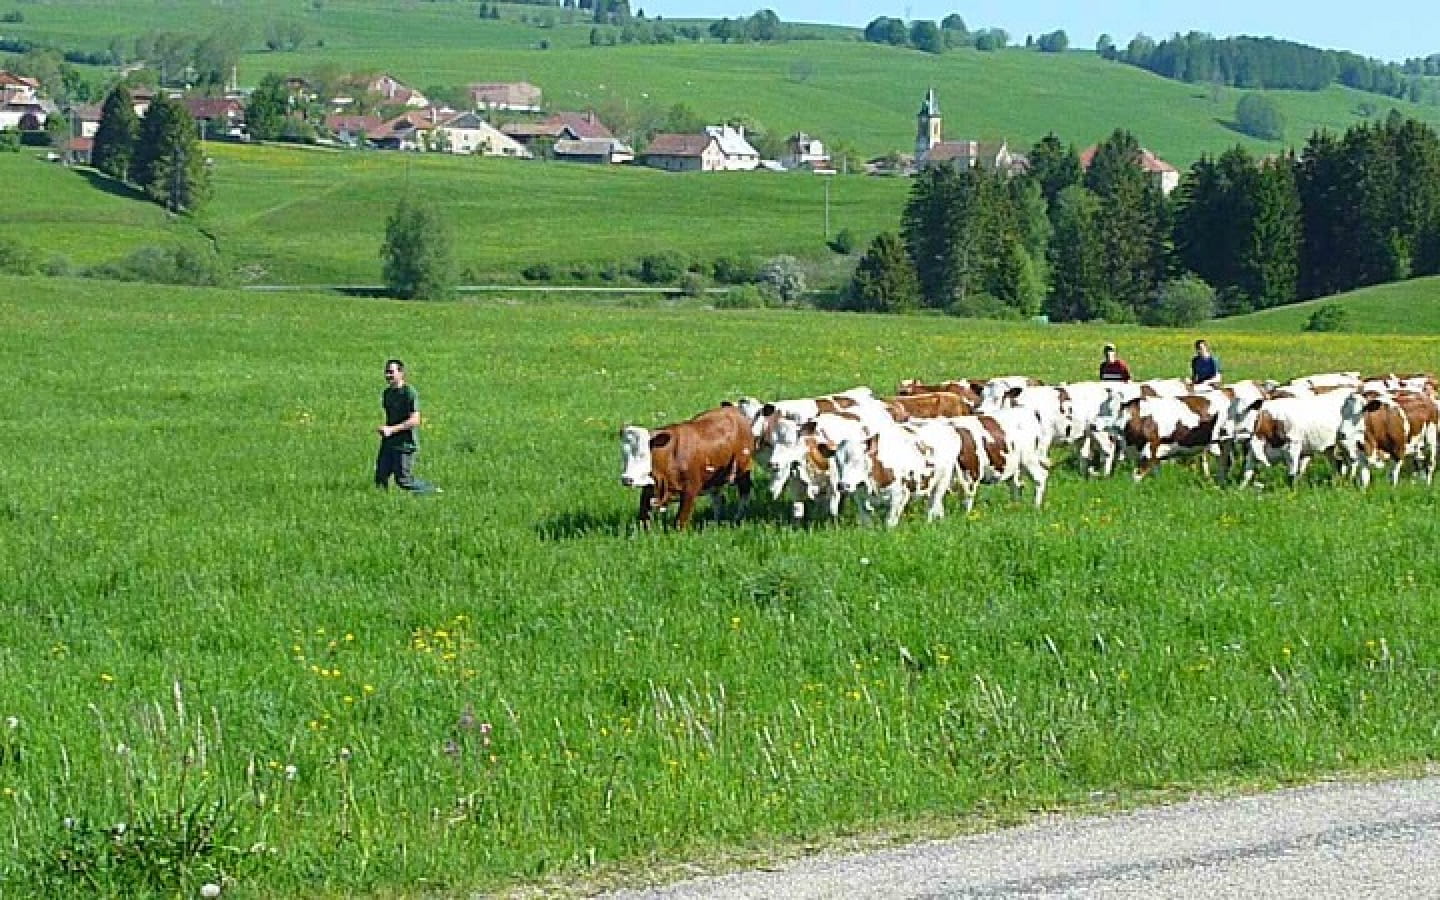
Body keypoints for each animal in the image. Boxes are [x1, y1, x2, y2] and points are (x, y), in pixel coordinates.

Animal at [619, 403, 754, 527]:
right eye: (623, 454)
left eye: (643, 454)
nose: (626, 479)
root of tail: (731, 408)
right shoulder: (649, 488)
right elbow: (644, 517)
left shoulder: (690, 488)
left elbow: (680, 521)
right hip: (714, 479)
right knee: (718, 499)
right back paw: (715, 522)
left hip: (743, 469)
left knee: (744, 493)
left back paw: (737, 518)